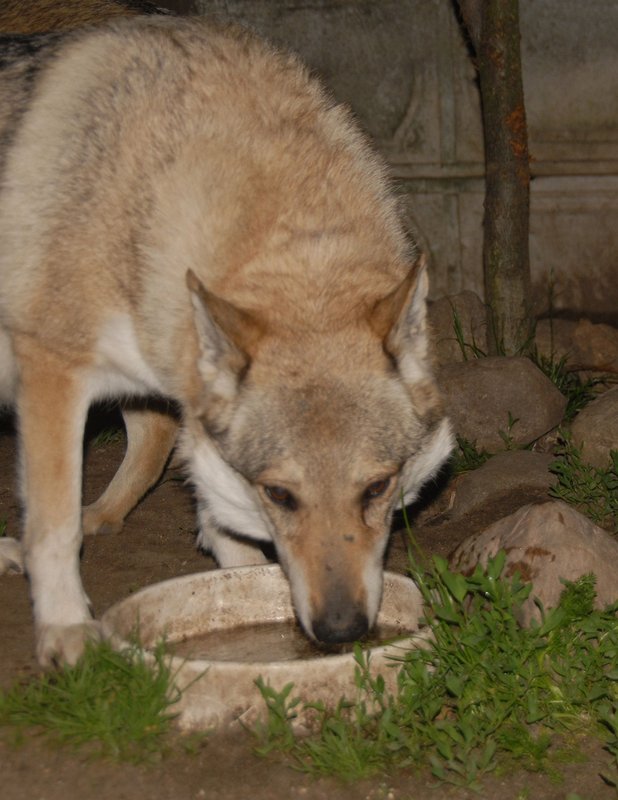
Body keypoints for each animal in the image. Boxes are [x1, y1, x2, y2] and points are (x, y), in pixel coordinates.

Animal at [0, 14, 453, 667]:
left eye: (376, 488)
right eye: (280, 495)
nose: (341, 630)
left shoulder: (184, 389)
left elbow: (221, 526)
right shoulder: (51, 367)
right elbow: (52, 524)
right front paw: (66, 630)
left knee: (150, 439)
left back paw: (98, 518)